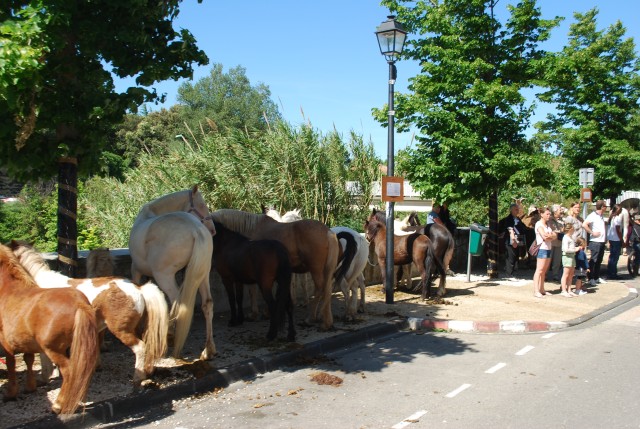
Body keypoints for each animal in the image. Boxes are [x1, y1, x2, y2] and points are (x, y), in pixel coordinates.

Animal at [0, 242, 99, 412]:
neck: (9, 289)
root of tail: (80, 303)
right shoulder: (26, 342)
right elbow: (28, 360)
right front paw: (30, 386)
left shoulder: (6, 343)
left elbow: (11, 365)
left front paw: (11, 393)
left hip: (53, 349)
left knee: (70, 371)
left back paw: (59, 405)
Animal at [129, 186, 216, 360]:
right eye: (201, 204)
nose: (213, 230)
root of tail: (196, 229)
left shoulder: (136, 269)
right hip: (202, 274)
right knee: (207, 303)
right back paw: (208, 350)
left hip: (164, 276)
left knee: (177, 303)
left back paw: (170, 337)